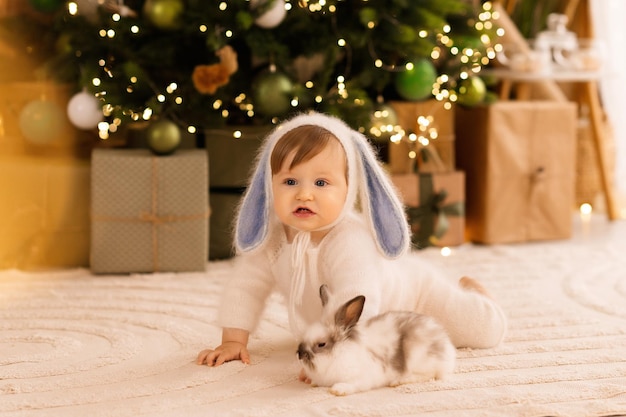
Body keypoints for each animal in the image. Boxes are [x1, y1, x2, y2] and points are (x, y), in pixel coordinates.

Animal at [294, 284, 456, 394]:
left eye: (321, 344)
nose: (300, 354)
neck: (339, 353)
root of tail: (447, 346)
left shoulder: (362, 378)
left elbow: (352, 384)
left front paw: (338, 389)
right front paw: (312, 382)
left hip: (418, 356)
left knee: (429, 375)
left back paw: (399, 381)